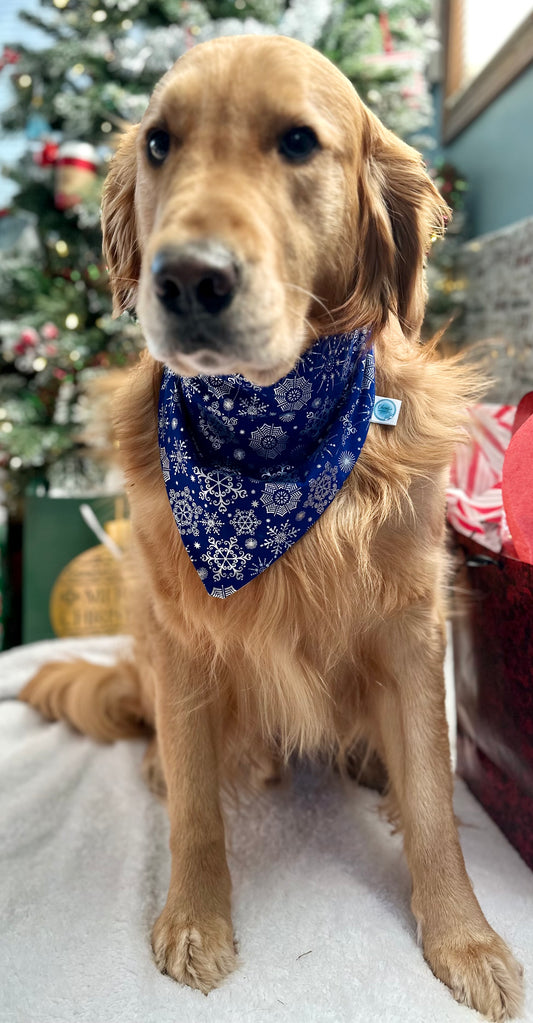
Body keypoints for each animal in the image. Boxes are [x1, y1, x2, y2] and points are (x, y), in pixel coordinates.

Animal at [19, 36, 519, 1018]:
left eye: (297, 141)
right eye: (159, 144)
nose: (185, 278)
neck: (272, 437)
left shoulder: (411, 623)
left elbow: (434, 800)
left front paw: (463, 938)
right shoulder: (177, 628)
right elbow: (195, 811)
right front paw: (195, 917)